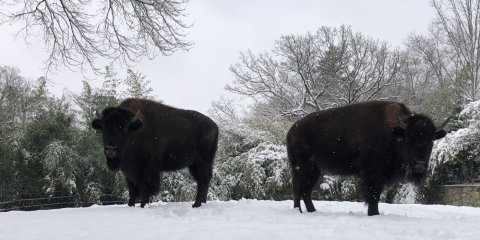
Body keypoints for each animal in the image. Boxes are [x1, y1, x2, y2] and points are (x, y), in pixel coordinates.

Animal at [288, 100, 450, 217]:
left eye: (431, 140)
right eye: (409, 138)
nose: (420, 164)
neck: (393, 133)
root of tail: (293, 129)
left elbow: (376, 196)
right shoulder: (372, 174)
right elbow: (373, 196)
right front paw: (373, 214)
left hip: (315, 170)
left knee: (306, 191)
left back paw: (312, 212)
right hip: (301, 166)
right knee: (297, 188)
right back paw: (299, 212)